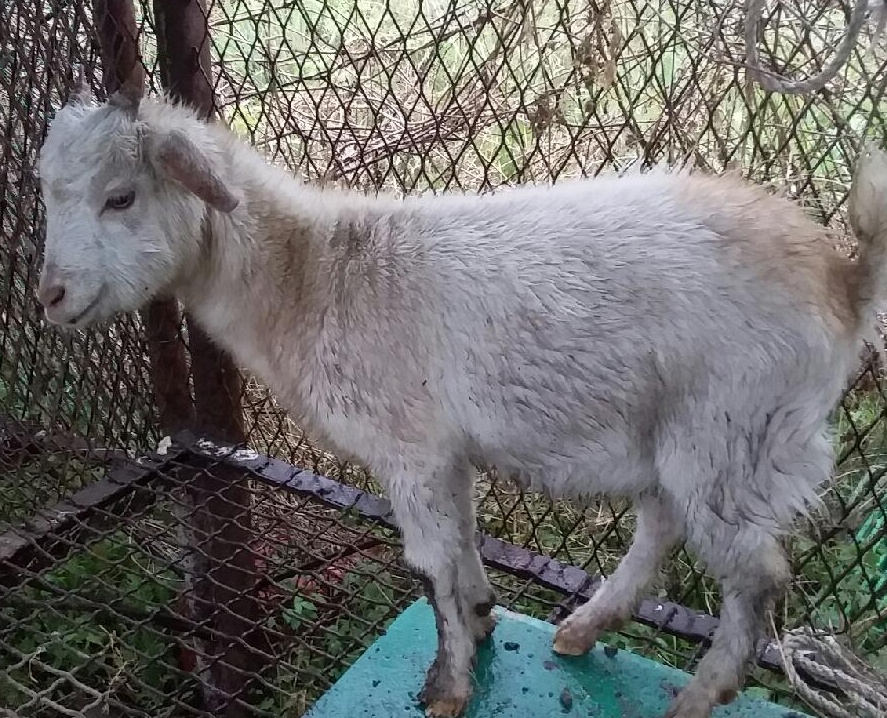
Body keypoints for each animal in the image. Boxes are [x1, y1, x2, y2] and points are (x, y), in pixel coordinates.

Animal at [34, 76, 887, 716]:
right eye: (49, 196)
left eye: (121, 197)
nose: (49, 296)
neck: (314, 275)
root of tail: (842, 279)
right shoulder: (446, 454)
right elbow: (465, 547)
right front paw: (478, 625)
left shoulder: (409, 451)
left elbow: (431, 563)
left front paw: (448, 684)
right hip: (680, 430)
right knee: (663, 523)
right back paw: (586, 627)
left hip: (733, 428)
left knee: (753, 574)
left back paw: (697, 696)